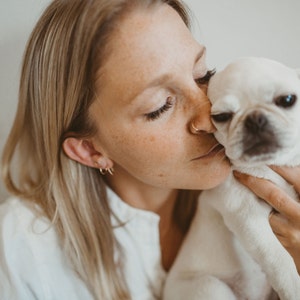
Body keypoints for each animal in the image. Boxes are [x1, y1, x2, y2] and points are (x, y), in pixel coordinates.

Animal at [163, 56, 300, 300]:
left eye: (287, 100)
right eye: (221, 117)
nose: (255, 119)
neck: (271, 167)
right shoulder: (248, 218)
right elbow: (280, 260)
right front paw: (294, 288)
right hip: (210, 287)